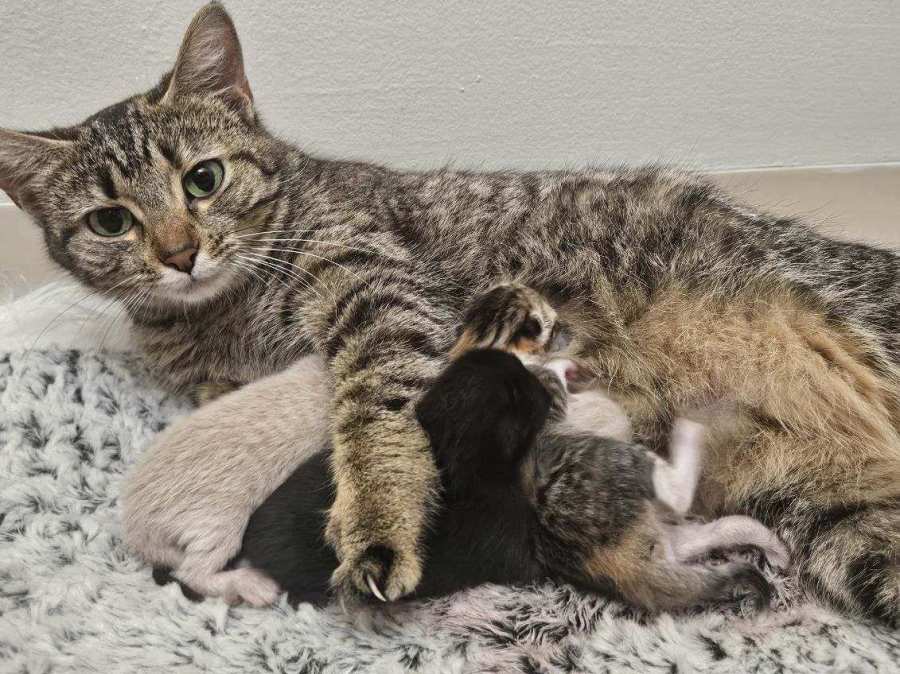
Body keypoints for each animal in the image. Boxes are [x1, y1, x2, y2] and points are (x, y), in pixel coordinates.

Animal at [1, 2, 900, 624]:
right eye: (110, 222)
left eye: (203, 179)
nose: (179, 252)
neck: (216, 314)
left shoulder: (379, 288)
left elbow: (377, 415)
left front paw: (380, 527)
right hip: (842, 522)